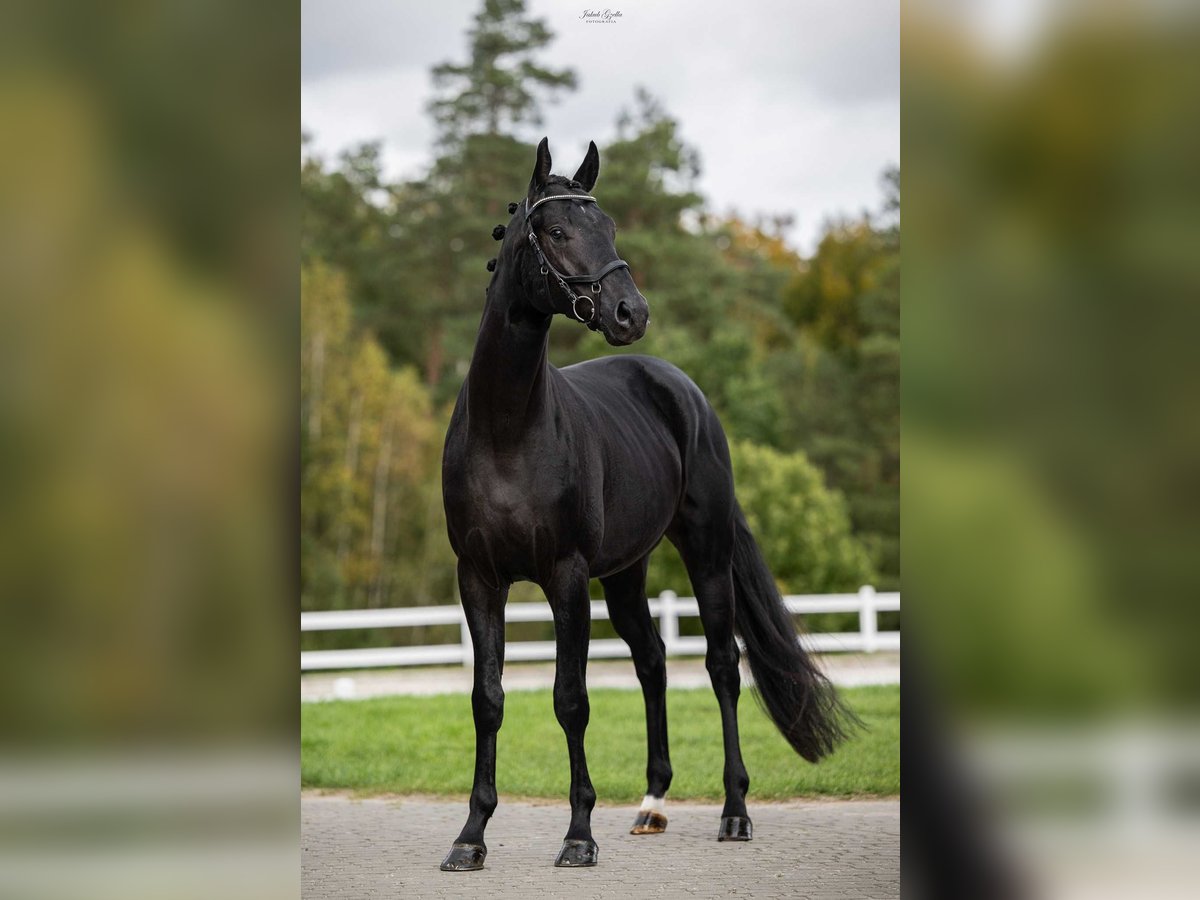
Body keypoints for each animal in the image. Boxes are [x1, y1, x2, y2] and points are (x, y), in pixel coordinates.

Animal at [441, 137, 854, 868]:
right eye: (556, 230)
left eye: (608, 225)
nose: (631, 313)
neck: (506, 432)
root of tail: (678, 387)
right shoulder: (479, 578)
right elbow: (487, 699)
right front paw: (471, 836)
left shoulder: (565, 576)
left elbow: (571, 700)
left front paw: (578, 836)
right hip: (626, 575)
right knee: (653, 661)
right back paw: (652, 802)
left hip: (706, 552)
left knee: (721, 667)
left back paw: (735, 811)